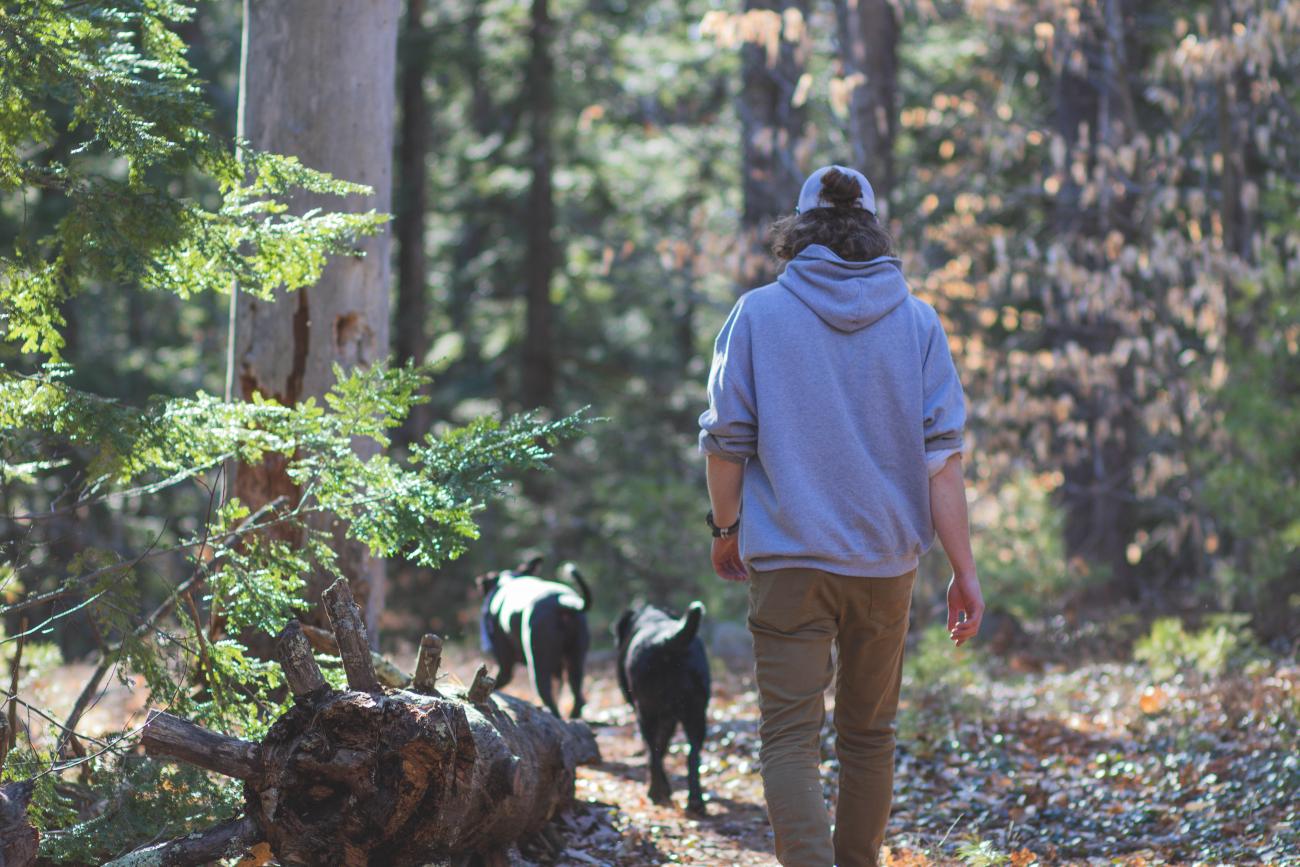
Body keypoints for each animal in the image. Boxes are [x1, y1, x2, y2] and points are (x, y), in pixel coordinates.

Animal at [480, 556, 592, 717]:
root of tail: (561, 602)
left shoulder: (505, 662)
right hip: (575, 660)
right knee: (577, 697)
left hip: (537, 665)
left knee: (549, 699)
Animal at [616, 603, 712, 816]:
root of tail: (665, 641)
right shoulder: (671, 719)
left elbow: (655, 753)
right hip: (696, 714)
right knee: (692, 756)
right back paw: (695, 801)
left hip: (646, 713)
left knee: (653, 750)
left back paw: (655, 793)